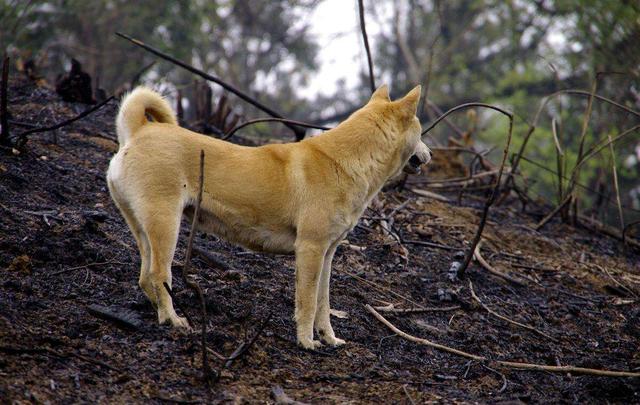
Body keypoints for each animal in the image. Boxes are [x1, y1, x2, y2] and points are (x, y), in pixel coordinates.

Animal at [107, 84, 432, 348]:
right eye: (421, 130)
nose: (430, 155)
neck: (344, 162)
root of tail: (138, 131)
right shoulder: (310, 249)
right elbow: (308, 303)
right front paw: (307, 342)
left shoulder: (327, 254)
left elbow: (323, 303)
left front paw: (329, 338)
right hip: (166, 225)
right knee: (159, 274)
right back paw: (172, 320)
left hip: (145, 229)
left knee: (145, 278)